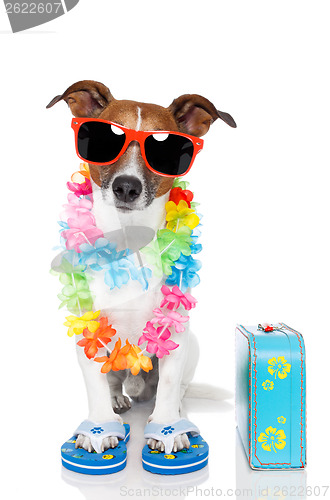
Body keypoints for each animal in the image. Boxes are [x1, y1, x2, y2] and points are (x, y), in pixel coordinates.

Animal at [47, 81, 237, 454]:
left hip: (192, 345)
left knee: (176, 389)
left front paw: (167, 428)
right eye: (104, 139)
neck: (129, 240)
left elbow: (169, 386)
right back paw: (117, 400)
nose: (126, 186)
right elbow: (95, 386)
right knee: (112, 383)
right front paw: (98, 428)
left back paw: (176, 411)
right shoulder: (88, 330)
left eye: (166, 151)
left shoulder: (175, 333)